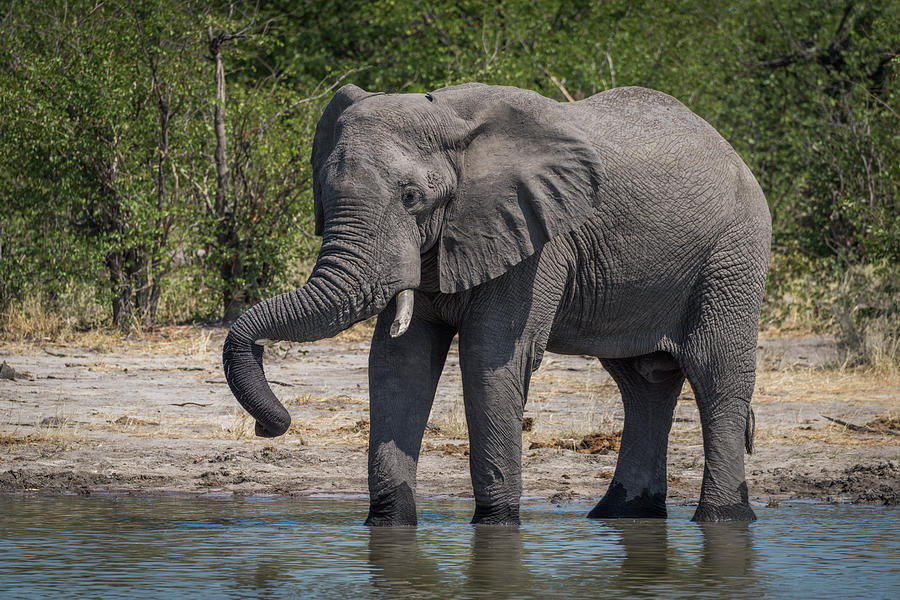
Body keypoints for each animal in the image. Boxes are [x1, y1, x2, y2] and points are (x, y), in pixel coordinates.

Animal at [221, 81, 768, 524]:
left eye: (411, 197)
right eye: (323, 191)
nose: (269, 426)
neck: (450, 120)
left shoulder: (538, 236)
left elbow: (491, 357)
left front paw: (496, 525)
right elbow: (399, 360)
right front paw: (388, 525)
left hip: (733, 255)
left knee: (715, 371)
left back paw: (721, 518)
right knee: (643, 381)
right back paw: (621, 515)